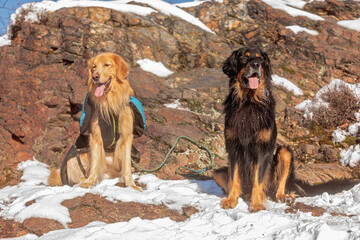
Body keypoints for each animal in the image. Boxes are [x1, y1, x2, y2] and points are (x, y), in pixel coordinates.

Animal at [214, 46, 296, 212]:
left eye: (260, 59)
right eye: (244, 58)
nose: (256, 64)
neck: (249, 102)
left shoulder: (262, 150)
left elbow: (258, 180)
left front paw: (256, 204)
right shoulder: (233, 147)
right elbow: (234, 178)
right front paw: (231, 200)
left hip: (286, 153)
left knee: (277, 188)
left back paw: (285, 197)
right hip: (217, 172)